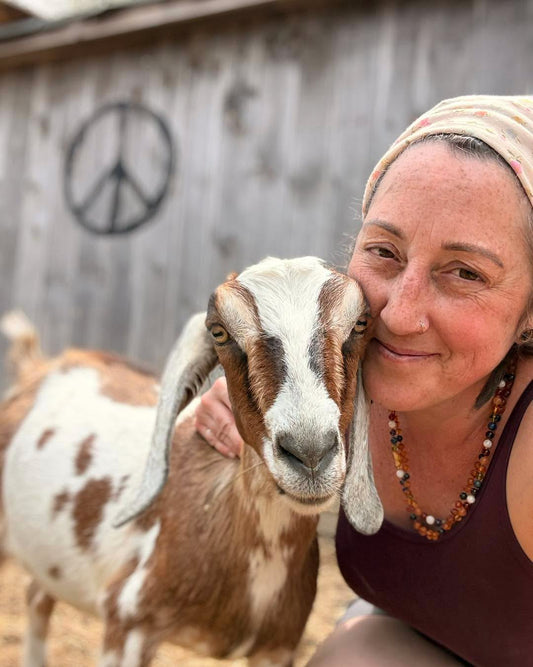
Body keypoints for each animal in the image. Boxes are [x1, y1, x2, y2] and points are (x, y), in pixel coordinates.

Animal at [0, 256, 383, 667]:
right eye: (219, 333)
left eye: (360, 324)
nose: (310, 453)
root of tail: (39, 367)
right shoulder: (128, 626)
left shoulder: (277, 649)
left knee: (37, 595)